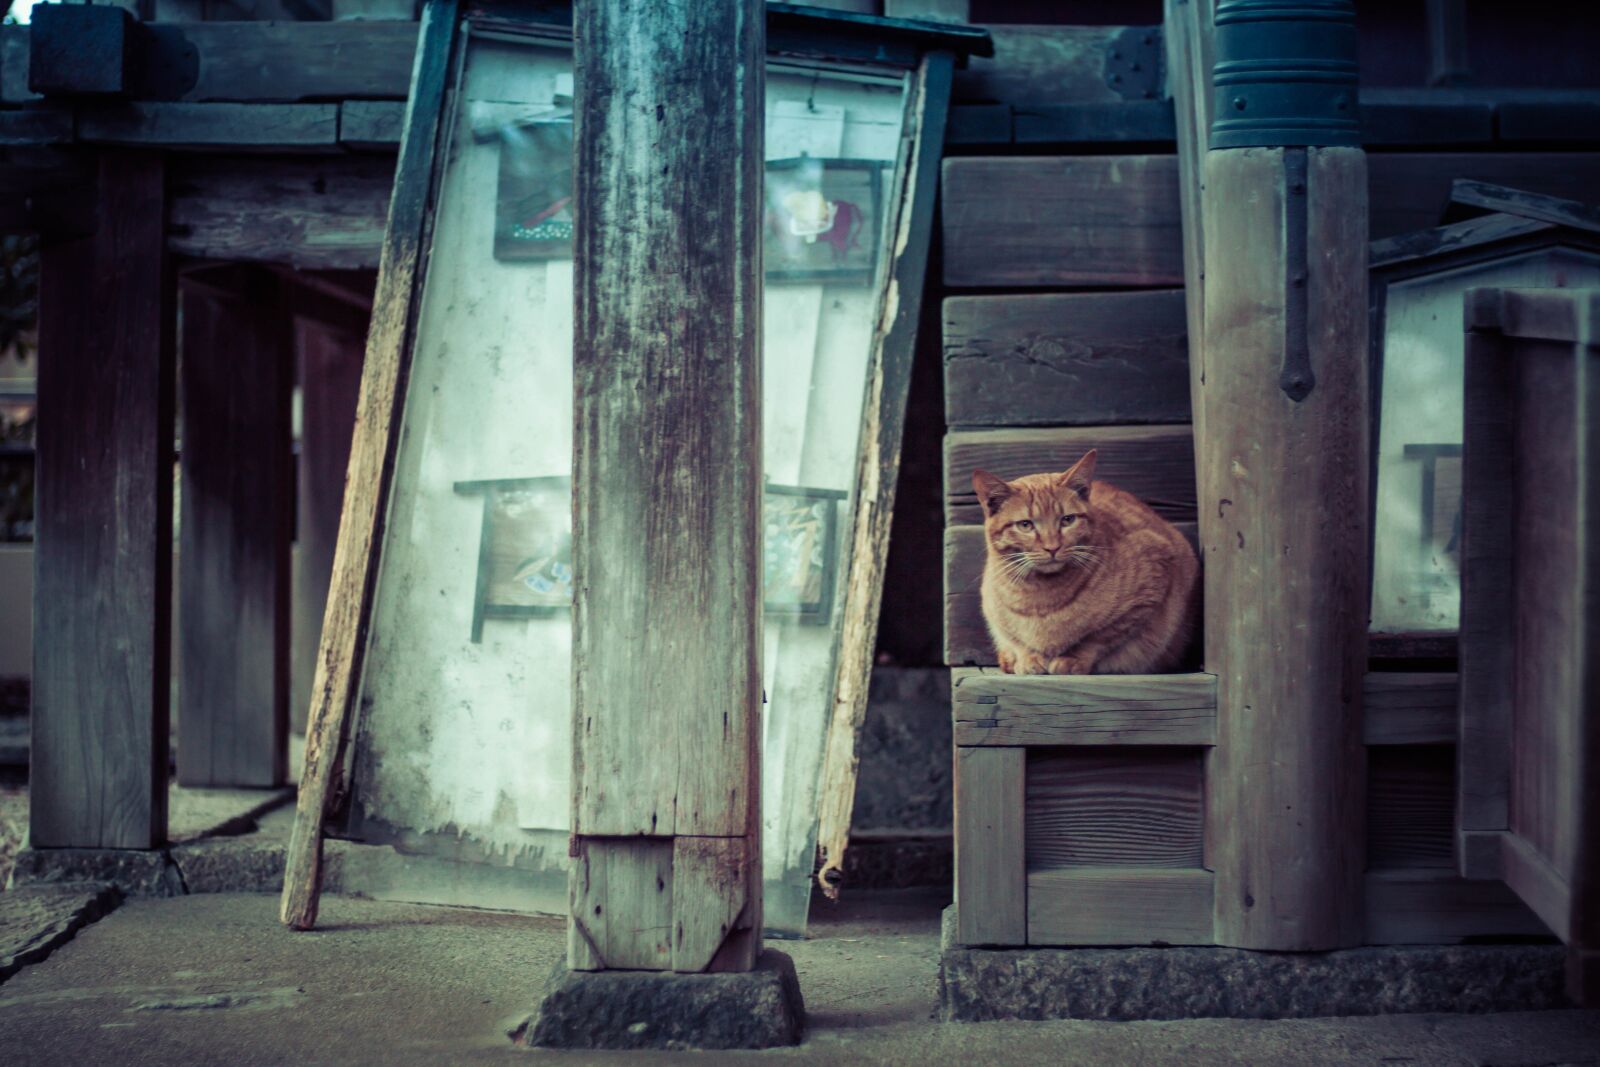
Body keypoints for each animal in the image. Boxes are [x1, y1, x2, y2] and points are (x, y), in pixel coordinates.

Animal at [972, 454, 1203, 675]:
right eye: (1026, 525)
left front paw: (1072, 659)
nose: (1052, 547)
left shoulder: (1149, 587)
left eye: (1067, 520)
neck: (1040, 598)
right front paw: (1028, 659)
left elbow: (1098, 638)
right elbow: (1017, 640)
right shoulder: (993, 612)